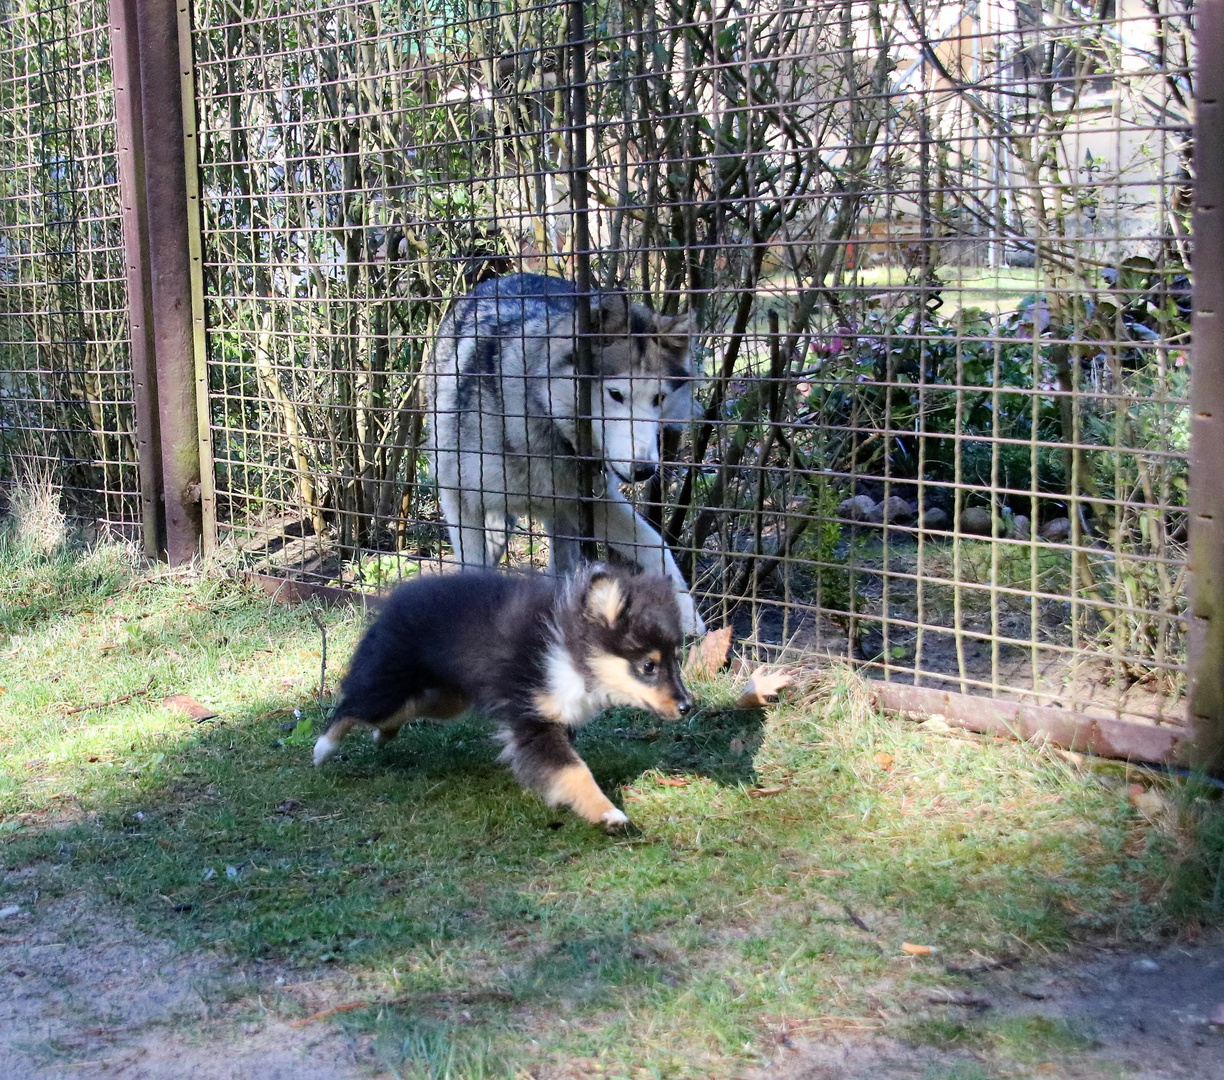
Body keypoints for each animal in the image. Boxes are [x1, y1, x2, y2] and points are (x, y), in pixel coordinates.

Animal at [310, 563, 695, 822]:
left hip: (446, 698)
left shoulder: (555, 717)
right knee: (352, 705)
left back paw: (382, 735)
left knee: (405, 709)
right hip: (391, 686)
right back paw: (323, 748)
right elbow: (575, 772)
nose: (687, 707)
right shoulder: (534, 718)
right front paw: (609, 815)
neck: (569, 650)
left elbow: (562, 768)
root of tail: (393, 600)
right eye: (648, 666)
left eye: (677, 660)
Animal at [423, 269, 705, 636]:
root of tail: (514, 275)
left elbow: (656, 544)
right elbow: (474, 569)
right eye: (616, 394)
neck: (543, 421)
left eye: (658, 399)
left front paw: (688, 613)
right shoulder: (460, 499)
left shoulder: (598, 504)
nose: (644, 469)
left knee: (561, 568)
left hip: (564, 517)